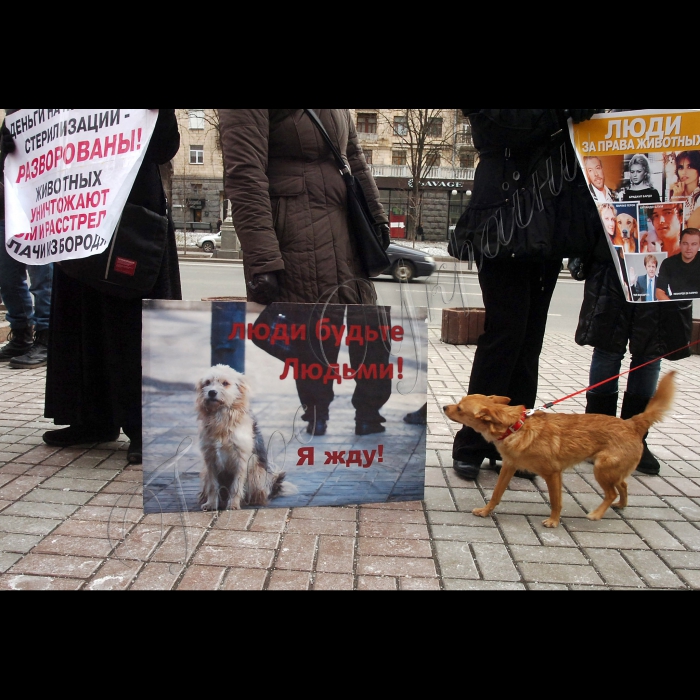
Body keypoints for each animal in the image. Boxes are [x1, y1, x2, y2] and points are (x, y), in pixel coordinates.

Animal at [193, 366, 294, 508]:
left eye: (225, 383)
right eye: (207, 382)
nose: (212, 392)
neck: (221, 417)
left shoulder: (241, 459)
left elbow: (236, 486)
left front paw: (233, 505)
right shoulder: (210, 459)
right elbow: (213, 485)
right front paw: (211, 504)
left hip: (256, 472)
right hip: (204, 473)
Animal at [440, 372, 676, 524]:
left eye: (459, 408)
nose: (443, 407)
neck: (516, 426)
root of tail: (632, 424)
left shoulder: (553, 474)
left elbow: (556, 501)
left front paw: (554, 521)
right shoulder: (509, 467)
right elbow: (496, 494)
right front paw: (486, 511)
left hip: (602, 469)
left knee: (611, 493)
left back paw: (597, 514)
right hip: (611, 470)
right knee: (623, 486)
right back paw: (621, 505)